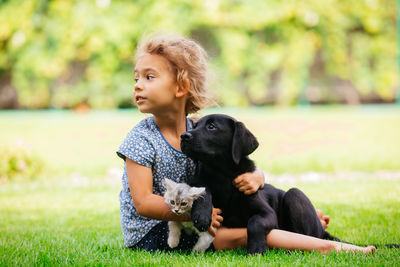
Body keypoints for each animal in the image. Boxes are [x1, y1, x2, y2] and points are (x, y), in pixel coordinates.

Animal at [181, 113, 340, 255]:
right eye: (195, 126)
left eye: (211, 126)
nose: (184, 136)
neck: (221, 174)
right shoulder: (198, 181)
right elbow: (202, 188)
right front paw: (202, 214)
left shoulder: (267, 213)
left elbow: (255, 223)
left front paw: (256, 249)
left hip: (295, 195)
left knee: (303, 236)